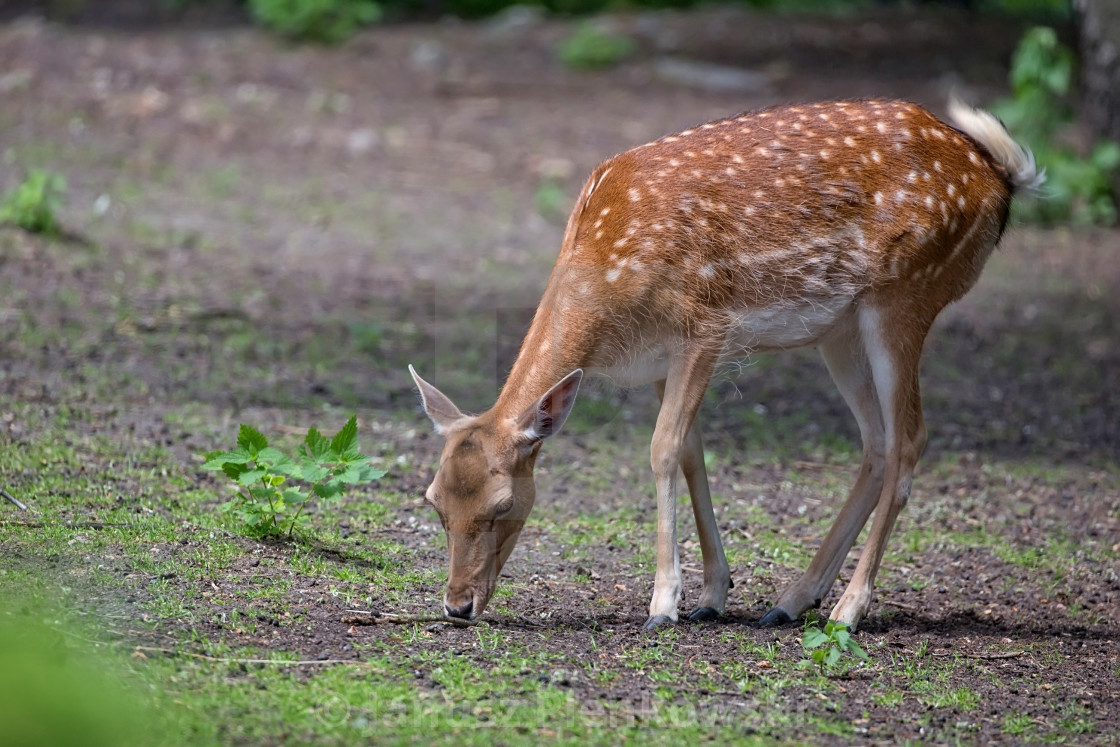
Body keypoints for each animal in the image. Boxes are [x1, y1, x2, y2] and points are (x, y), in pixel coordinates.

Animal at [409, 97, 1039, 631]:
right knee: (877, 442)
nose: (458, 607)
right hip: (841, 329)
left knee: (911, 438)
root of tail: (999, 175)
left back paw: (848, 610)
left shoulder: (703, 327)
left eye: (503, 505)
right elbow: (691, 451)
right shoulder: (661, 359)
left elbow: (663, 448)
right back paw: (792, 601)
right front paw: (712, 594)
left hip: (906, 295)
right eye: (433, 500)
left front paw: (663, 604)